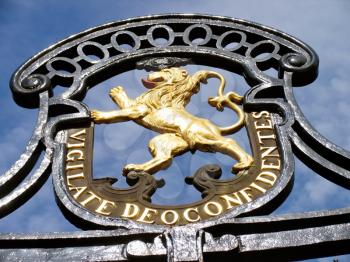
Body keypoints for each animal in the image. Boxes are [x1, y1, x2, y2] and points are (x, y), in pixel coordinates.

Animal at [91, 67, 253, 174]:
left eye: (166, 71)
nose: (149, 73)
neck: (167, 90)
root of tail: (216, 127)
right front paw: (116, 92)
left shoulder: (140, 109)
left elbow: (122, 110)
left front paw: (98, 114)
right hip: (167, 140)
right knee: (164, 158)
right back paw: (138, 167)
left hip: (201, 135)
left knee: (229, 142)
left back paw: (244, 163)